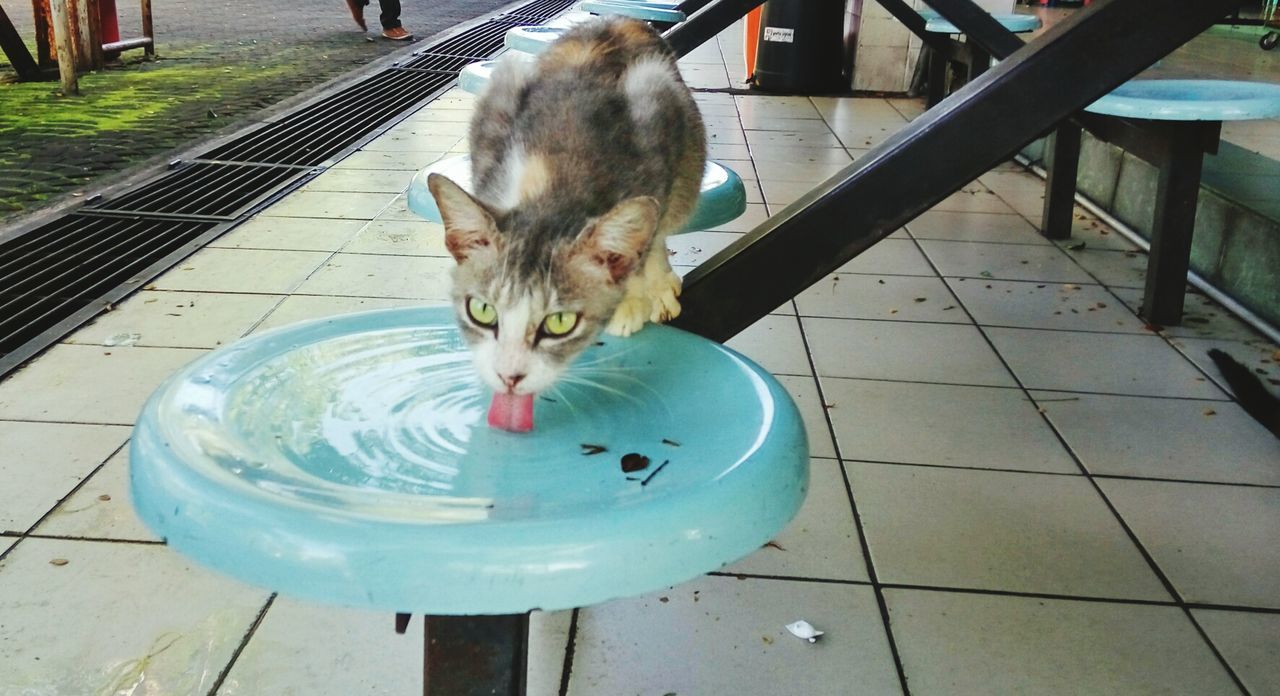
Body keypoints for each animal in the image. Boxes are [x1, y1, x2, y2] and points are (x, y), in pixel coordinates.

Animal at [430, 16, 711, 396]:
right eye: (484, 311)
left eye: (559, 321)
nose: (508, 377)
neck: (551, 183)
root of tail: (622, 20)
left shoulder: (657, 124)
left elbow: (649, 227)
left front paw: (632, 299)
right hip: (507, 77)